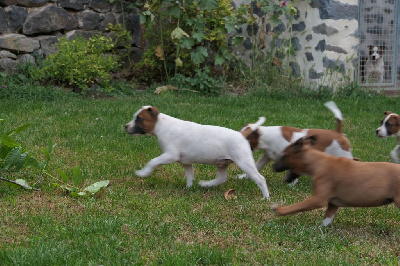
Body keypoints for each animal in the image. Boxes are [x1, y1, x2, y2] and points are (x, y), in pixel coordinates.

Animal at [125, 105, 270, 198]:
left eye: (139, 118)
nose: (125, 126)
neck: (161, 125)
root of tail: (241, 135)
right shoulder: (186, 163)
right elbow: (189, 176)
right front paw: (188, 188)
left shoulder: (169, 155)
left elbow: (152, 162)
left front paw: (143, 173)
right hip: (222, 163)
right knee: (221, 178)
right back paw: (206, 184)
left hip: (244, 162)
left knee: (260, 179)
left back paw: (266, 197)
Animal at [272, 135, 400, 227]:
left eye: (283, 155)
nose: (273, 167)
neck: (317, 162)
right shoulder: (333, 203)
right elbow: (326, 220)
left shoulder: (318, 199)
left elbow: (295, 206)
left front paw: (279, 210)